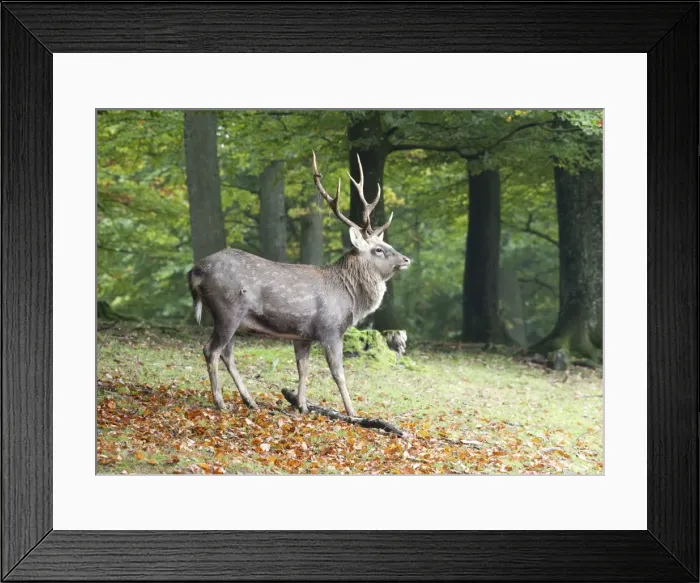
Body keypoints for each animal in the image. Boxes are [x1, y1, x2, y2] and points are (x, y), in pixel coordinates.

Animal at [187, 152, 410, 416]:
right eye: (378, 249)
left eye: (387, 245)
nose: (406, 259)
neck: (349, 297)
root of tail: (195, 271)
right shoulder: (330, 329)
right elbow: (338, 373)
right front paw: (352, 412)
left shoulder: (303, 335)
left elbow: (303, 368)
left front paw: (302, 405)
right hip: (227, 310)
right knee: (211, 350)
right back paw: (220, 402)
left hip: (228, 318)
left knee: (227, 354)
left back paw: (250, 401)